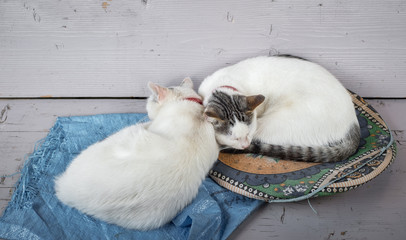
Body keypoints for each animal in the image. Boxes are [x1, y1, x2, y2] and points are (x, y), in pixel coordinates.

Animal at [198, 55, 360, 162]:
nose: (245, 145)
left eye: (247, 133)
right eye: (234, 137)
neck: (223, 85)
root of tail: (354, 124)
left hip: (272, 124)